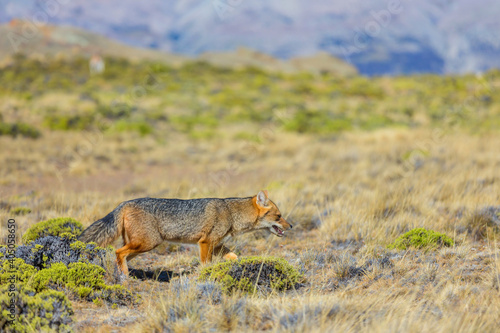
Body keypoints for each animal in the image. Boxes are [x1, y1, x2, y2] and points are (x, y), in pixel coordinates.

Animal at [76, 189, 292, 274]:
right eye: (279, 216)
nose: (291, 227)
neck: (231, 213)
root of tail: (124, 202)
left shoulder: (217, 244)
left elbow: (235, 257)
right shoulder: (205, 243)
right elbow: (206, 264)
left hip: (139, 246)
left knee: (118, 255)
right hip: (148, 243)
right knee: (118, 253)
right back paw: (125, 277)